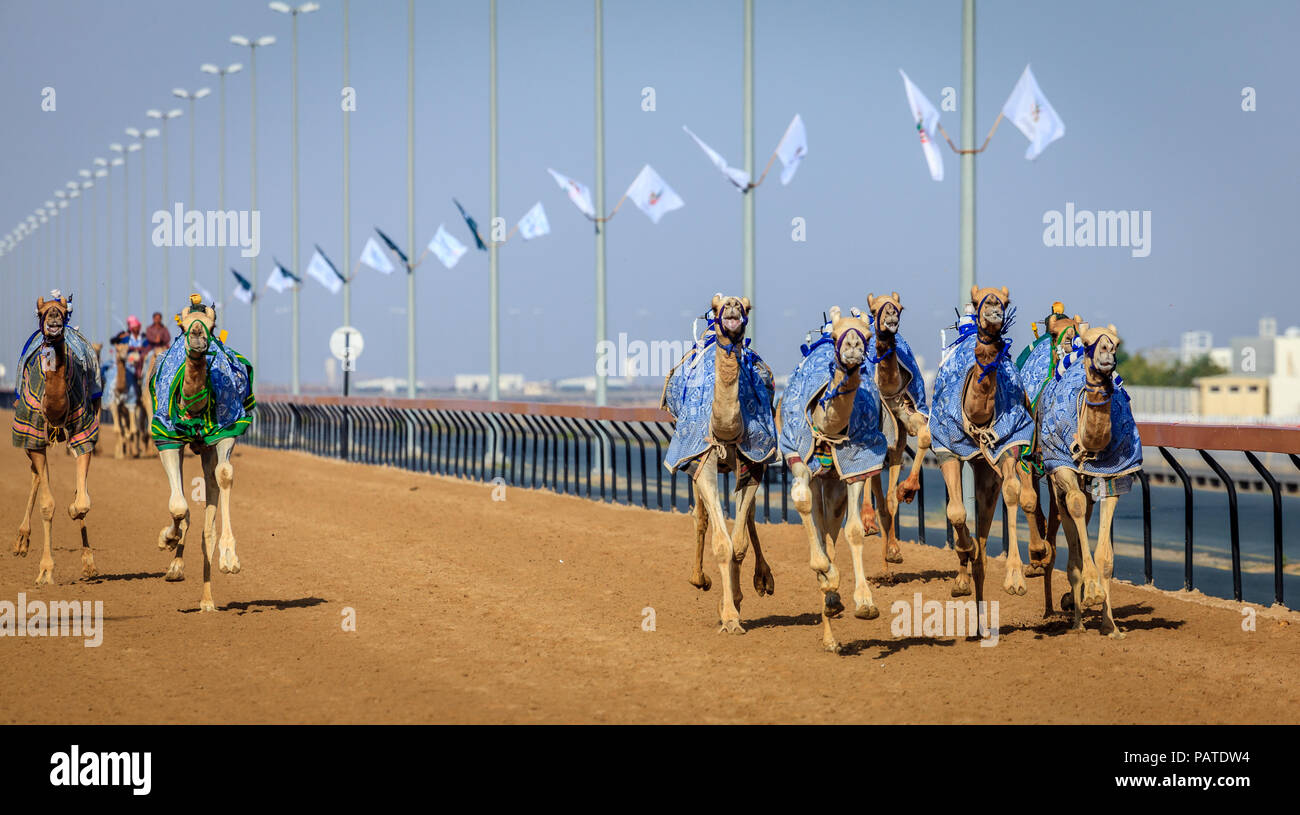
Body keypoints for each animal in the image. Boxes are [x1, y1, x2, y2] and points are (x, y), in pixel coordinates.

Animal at [147, 295, 256, 613]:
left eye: (213, 323)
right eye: (182, 324)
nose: (197, 335)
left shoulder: (226, 430)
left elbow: (224, 475)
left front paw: (230, 558)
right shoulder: (166, 437)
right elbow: (178, 506)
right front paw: (166, 539)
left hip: (207, 448)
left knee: (209, 505)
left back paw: (207, 601)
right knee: (183, 504)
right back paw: (175, 567)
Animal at [665, 295, 774, 636]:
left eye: (747, 307)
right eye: (715, 306)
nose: (732, 305)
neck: (726, 430)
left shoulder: (754, 462)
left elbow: (738, 543)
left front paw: (736, 604)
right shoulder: (703, 460)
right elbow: (721, 542)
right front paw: (728, 617)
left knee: (746, 518)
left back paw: (762, 580)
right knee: (701, 518)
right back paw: (699, 579)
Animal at [930, 288, 1050, 618]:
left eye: (1005, 299)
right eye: (977, 297)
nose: (994, 308)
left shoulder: (1010, 441)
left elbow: (1015, 494)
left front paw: (1016, 577)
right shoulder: (945, 447)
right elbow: (956, 511)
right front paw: (965, 552)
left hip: (994, 464)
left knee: (1015, 499)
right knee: (972, 526)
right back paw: (965, 577)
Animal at [1034, 321, 1138, 636]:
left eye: (1117, 341)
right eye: (1091, 342)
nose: (1107, 354)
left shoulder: (1113, 476)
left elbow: (1106, 557)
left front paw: (1110, 625)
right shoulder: (1063, 470)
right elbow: (1076, 509)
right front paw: (1090, 594)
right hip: (1056, 480)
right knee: (1069, 517)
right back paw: (1077, 618)